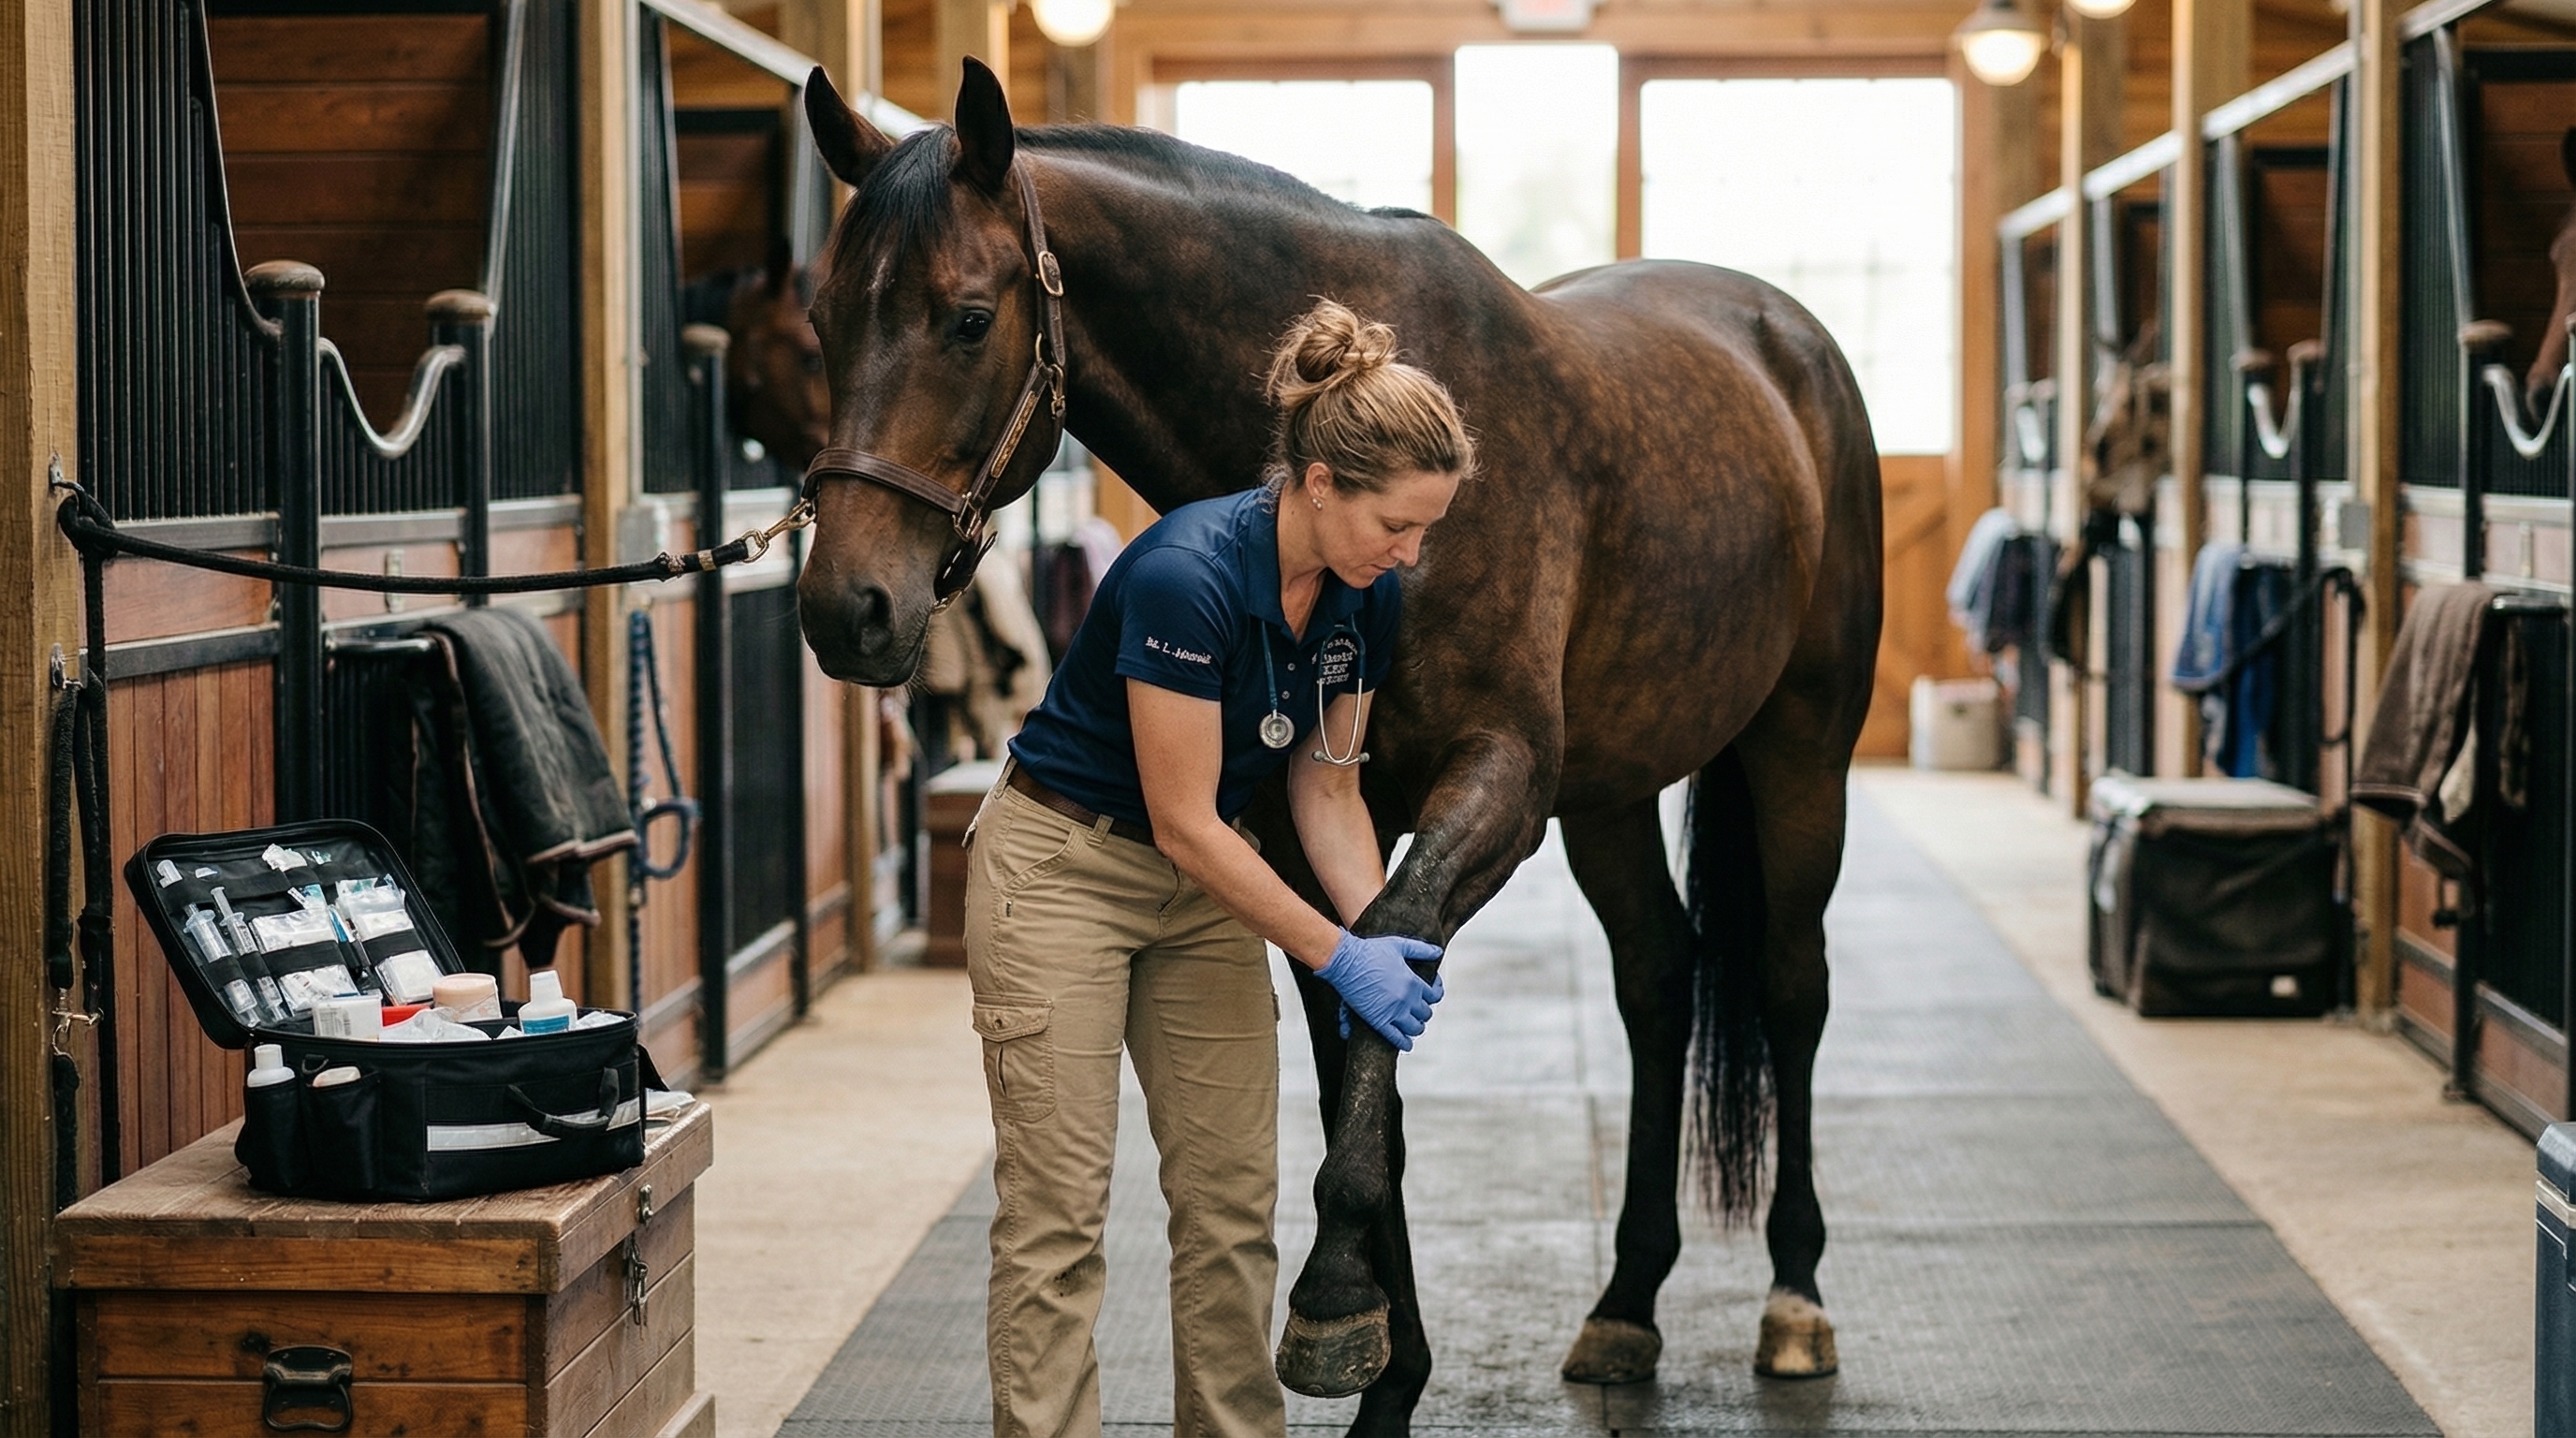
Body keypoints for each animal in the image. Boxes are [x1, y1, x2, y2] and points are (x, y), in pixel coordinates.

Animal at [792, 60, 1882, 1435]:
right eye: (821, 320)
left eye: (970, 318)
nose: (848, 609)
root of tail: (1785, 338)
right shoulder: (1295, 833)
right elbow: (1364, 1027)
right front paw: (1380, 1361)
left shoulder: (1499, 780)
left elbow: (1388, 957)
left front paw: (1327, 1296)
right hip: (1612, 793)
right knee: (1657, 978)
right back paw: (1625, 1303)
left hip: (1801, 746)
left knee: (1792, 985)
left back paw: (1794, 1298)